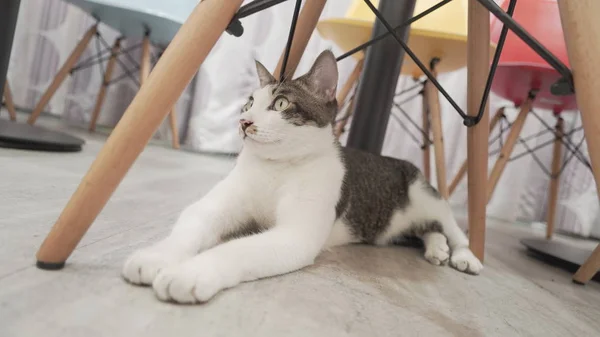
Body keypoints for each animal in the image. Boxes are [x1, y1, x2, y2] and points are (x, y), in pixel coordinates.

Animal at [122, 50, 482, 304]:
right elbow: (194, 220)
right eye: (248, 104)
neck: (275, 167)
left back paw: (463, 255)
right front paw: (156, 256)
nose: (244, 122)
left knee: (449, 227)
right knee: (424, 230)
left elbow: (238, 249)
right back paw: (436, 248)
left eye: (281, 103)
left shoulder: (295, 234)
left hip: (425, 194)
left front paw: (192, 273)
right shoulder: (220, 202)